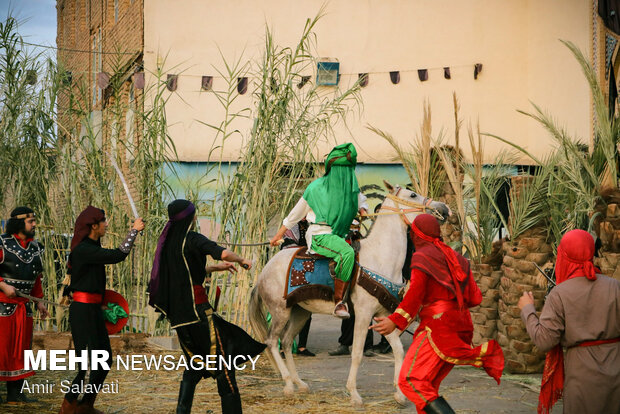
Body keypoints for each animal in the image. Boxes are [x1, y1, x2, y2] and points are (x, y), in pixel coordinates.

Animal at [249, 182, 448, 408]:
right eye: (413, 194)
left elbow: (398, 350)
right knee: (272, 341)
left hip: (301, 312)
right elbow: (357, 353)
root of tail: (264, 271)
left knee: (287, 340)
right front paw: (353, 394)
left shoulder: (382, 315)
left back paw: (300, 383)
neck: (380, 257)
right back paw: (289, 385)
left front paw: (399, 395)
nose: (443, 209)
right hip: (280, 311)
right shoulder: (363, 314)